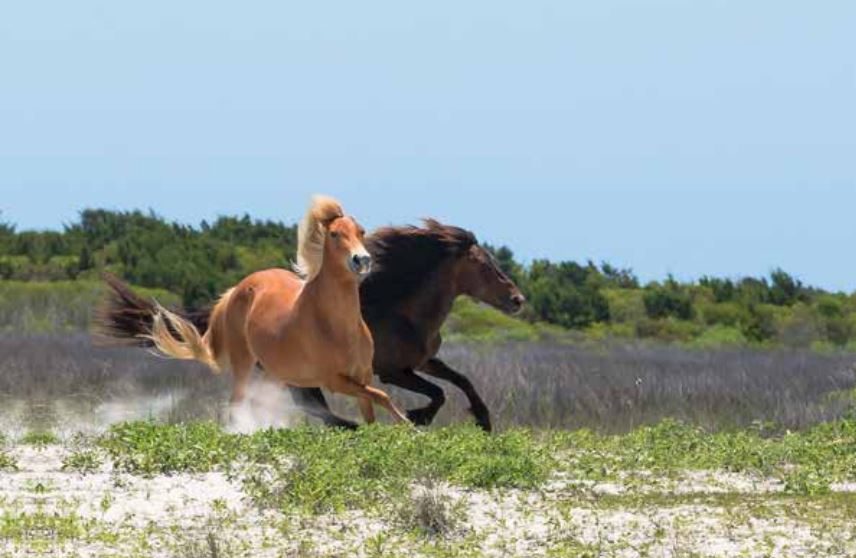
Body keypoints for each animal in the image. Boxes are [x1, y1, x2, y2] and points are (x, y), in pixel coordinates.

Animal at [95, 221, 520, 430]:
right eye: (486, 266)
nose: (517, 299)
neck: (401, 310)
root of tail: (232, 298)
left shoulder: (422, 361)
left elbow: (461, 381)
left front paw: (483, 420)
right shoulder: (392, 371)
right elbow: (439, 393)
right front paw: (418, 417)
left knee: (310, 404)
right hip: (293, 370)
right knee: (311, 404)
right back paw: (352, 426)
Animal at [139, 196, 410, 424]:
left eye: (361, 231)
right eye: (334, 234)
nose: (362, 260)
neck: (336, 326)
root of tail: (237, 289)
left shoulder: (362, 376)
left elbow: (373, 409)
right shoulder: (335, 380)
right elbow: (382, 396)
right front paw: (407, 425)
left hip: (277, 373)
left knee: (259, 403)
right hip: (244, 362)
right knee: (237, 402)